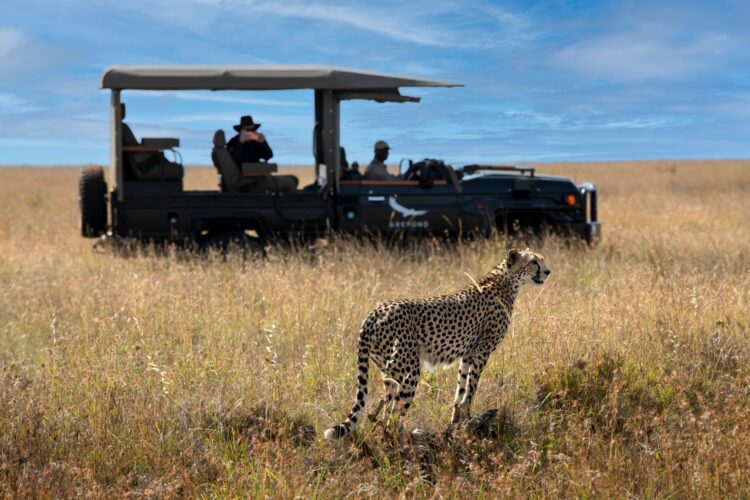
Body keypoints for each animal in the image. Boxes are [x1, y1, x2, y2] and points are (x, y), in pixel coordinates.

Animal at [324, 248, 550, 440]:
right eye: (533, 262)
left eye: (541, 259)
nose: (547, 271)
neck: (506, 281)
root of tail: (373, 313)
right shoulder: (482, 350)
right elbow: (472, 386)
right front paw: (468, 417)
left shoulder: (468, 353)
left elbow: (461, 386)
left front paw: (457, 419)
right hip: (409, 371)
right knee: (396, 412)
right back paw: (405, 437)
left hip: (389, 370)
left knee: (388, 404)